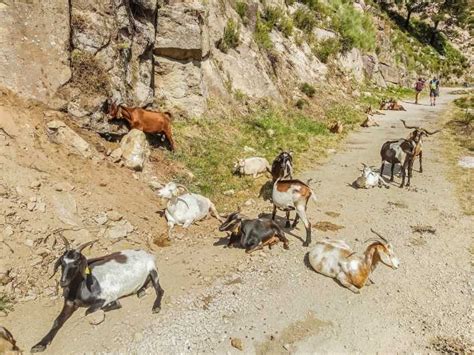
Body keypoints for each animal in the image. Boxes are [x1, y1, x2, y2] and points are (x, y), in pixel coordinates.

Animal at [31, 236, 165, 354]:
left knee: (160, 290)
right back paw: (140, 291)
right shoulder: (69, 303)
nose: (63, 282)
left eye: (76, 263)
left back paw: (156, 307)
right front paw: (39, 345)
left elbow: (88, 311)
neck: (83, 287)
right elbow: (57, 321)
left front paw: (115, 304)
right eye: (62, 262)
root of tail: (144, 252)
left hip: (153, 270)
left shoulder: (106, 297)